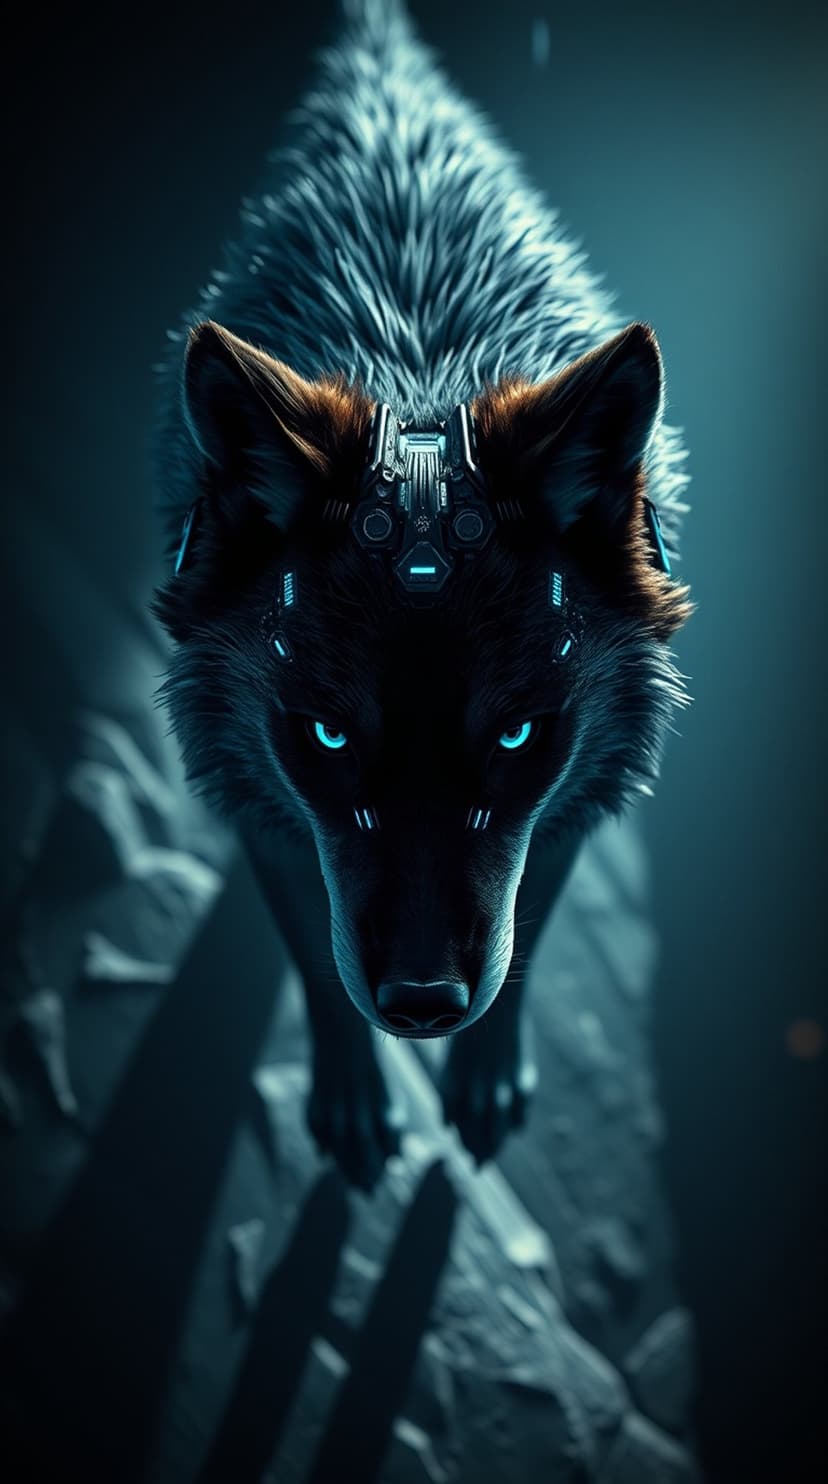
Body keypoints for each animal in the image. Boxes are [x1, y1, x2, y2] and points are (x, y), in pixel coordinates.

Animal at [152, 0, 692, 1189]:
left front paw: (482, 1080)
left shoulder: (571, 789)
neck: (418, 361)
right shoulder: (264, 796)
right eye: (328, 736)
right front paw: (354, 1101)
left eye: (517, 734)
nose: (423, 1004)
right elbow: (318, 959)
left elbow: (525, 925)